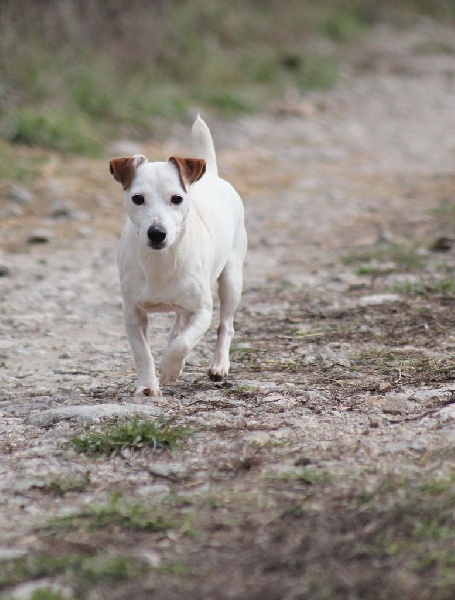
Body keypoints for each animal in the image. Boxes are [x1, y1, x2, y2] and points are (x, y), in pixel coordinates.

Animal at [110, 117, 248, 398]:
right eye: (137, 198)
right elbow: (143, 353)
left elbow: (183, 343)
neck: (160, 263)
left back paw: (219, 365)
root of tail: (212, 175)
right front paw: (147, 385)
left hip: (231, 279)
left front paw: (170, 368)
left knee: (225, 325)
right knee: (178, 324)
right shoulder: (132, 313)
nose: (156, 233)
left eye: (177, 198)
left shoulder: (203, 311)